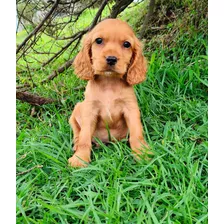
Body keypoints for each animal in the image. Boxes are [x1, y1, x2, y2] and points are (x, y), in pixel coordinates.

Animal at [67, 18, 150, 167]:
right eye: (98, 40)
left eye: (126, 44)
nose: (111, 59)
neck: (109, 83)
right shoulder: (90, 110)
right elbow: (84, 137)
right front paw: (80, 158)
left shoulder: (131, 108)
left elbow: (137, 133)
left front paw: (142, 153)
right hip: (77, 109)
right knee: (77, 132)